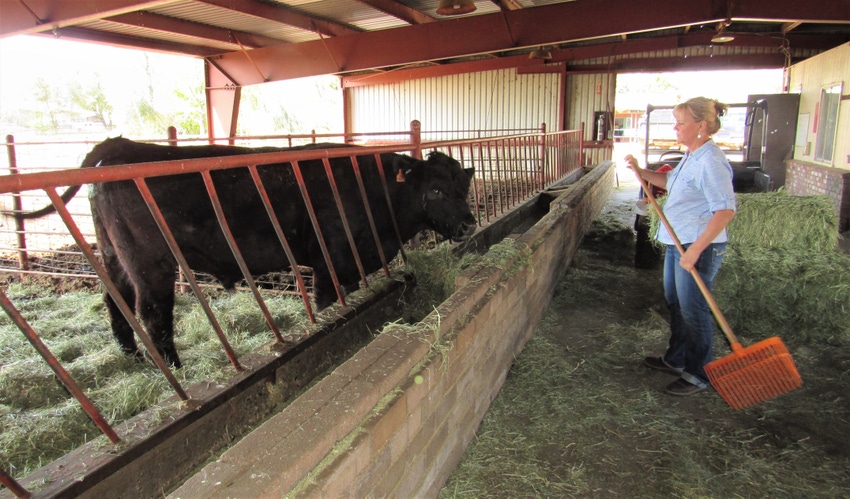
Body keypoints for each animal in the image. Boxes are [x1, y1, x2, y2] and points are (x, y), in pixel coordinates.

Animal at [18, 138, 476, 368]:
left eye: (463, 185)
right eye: (435, 189)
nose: (470, 224)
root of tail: (119, 147)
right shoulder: (330, 261)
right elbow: (329, 304)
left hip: (114, 255)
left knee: (115, 300)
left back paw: (131, 356)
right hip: (150, 263)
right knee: (152, 313)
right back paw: (173, 367)